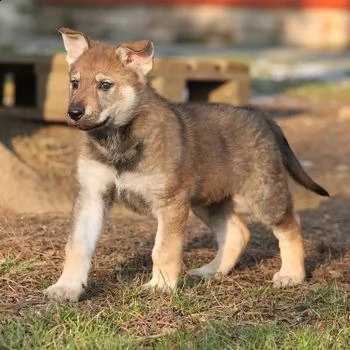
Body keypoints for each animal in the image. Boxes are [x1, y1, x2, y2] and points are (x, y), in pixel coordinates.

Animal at [45, 28, 330, 300]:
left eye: (105, 85)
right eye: (74, 83)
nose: (74, 113)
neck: (118, 142)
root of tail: (259, 114)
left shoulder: (171, 203)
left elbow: (163, 249)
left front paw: (161, 286)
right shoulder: (93, 196)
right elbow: (77, 246)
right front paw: (67, 288)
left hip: (264, 194)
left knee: (290, 225)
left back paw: (292, 274)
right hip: (208, 200)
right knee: (237, 232)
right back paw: (211, 271)